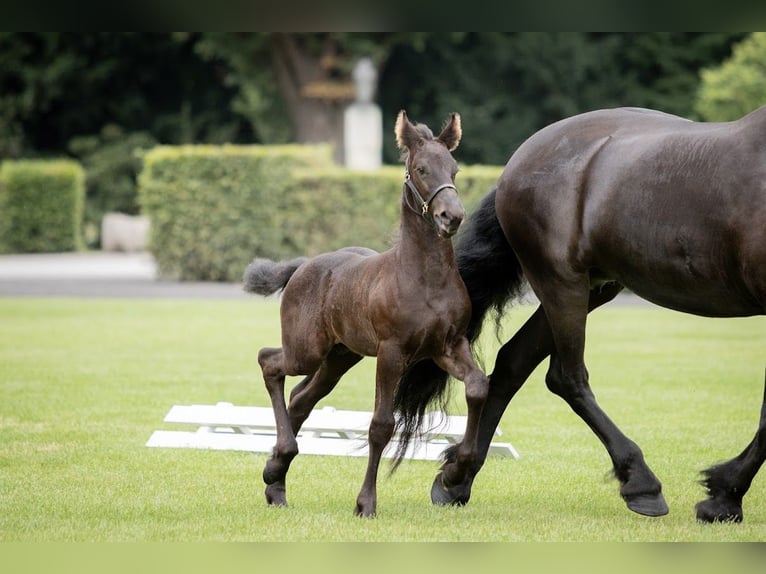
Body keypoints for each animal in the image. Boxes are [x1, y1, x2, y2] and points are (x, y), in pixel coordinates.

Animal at [243, 111, 489, 517]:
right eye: (421, 169)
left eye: (454, 169)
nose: (451, 216)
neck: (425, 278)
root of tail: (301, 266)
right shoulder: (392, 352)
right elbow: (381, 425)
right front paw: (366, 503)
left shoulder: (448, 346)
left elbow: (478, 386)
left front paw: (455, 472)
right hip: (306, 350)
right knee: (269, 362)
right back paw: (279, 465)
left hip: (340, 356)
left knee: (301, 396)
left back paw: (275, 477)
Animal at [411, 105, 766, 522]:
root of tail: (519, 160)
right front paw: (723, 495)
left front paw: (726, 494)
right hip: (562, 283)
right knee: (566, 377)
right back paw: (641, 482)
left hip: (589, 286)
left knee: (512, 363)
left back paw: (456, 479)